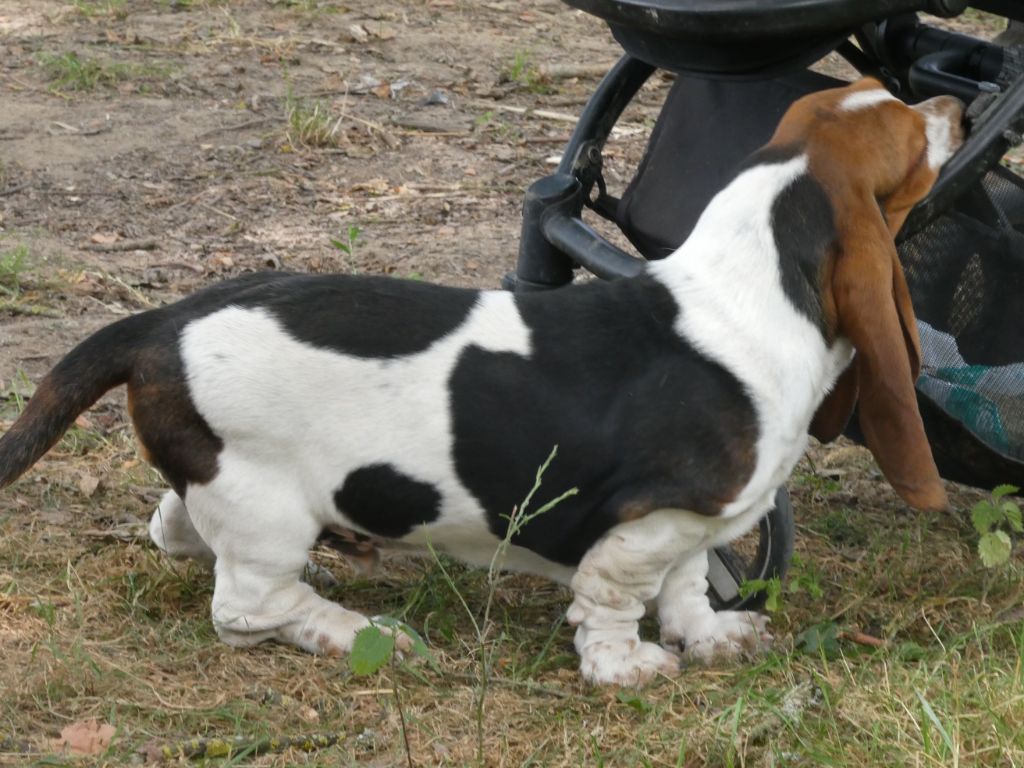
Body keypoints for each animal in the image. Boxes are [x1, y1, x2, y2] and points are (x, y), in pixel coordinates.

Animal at [0, 81, 958, 688]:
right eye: (912, 144)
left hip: (228, 488)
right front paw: (627, 668)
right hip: (270, 514)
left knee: (176, 528)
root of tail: (159, 323)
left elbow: (686, 583)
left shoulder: (694, 521)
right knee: (245, 608)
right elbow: (616, 596)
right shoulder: (646, 525)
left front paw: (709, 637)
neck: (743, 283)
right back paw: (360, 633)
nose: (953, 105)